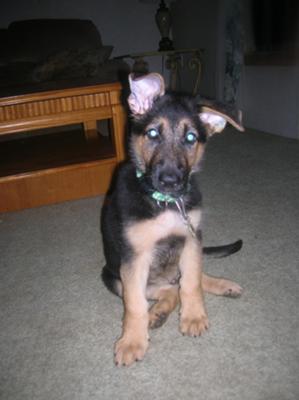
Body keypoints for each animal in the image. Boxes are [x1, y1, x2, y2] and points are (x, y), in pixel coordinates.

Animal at [102, 72, 245, 366]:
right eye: (153, 133)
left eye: (190, 137)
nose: (170, 181)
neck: (165, 203)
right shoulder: (135, 257)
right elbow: (135, 304)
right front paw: (132, 341)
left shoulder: (191, 238)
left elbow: (191, 283)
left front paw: (194, 316)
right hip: (114, 277)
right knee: (165, 292)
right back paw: (156, 314)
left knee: (187, 281)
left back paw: (223, 285)